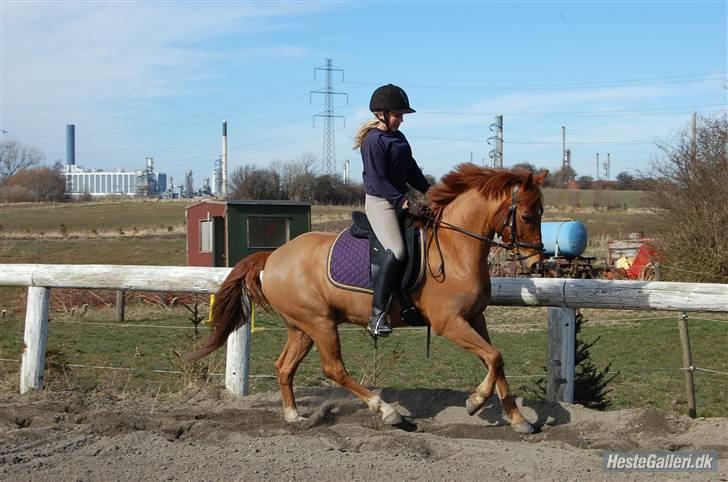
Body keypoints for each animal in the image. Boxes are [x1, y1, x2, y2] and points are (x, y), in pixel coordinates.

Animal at [188, 163, 544, 434]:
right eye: (527, 216)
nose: (536, 264)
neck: (455, 247)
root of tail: (272, 257)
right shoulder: (450, 323)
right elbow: (495, 358)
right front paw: (475, 402)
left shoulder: (475, 319)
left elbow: (497, 362)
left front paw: (518, 420)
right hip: (320, 324)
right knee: (334, 369)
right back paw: (387, 411)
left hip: (302, 328)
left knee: (284, 367)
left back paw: (293, 416)